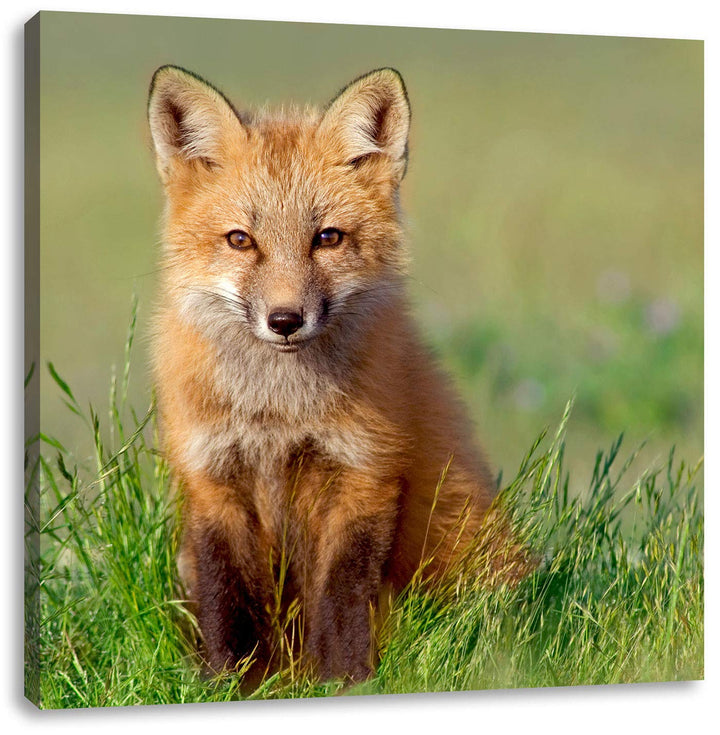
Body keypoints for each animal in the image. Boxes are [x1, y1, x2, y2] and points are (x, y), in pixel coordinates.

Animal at [147, 65, 527, 686]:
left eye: (326, 238)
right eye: (240, 240)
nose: (284, 320)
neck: (278, 414)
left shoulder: (364, 472)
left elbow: (342, 597)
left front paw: (343, 682)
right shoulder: (211, 478)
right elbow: (227, 599)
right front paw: (231, 684)